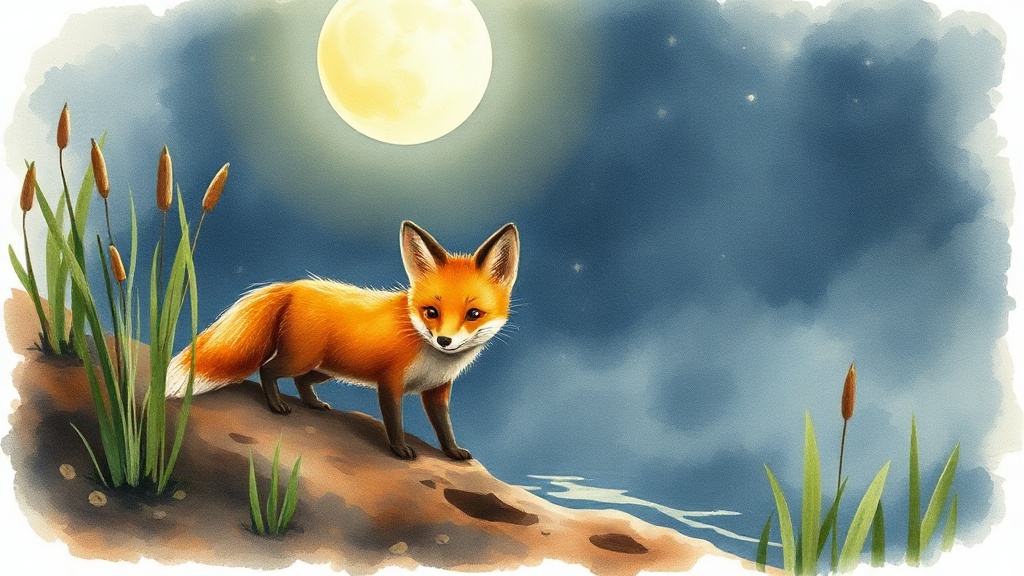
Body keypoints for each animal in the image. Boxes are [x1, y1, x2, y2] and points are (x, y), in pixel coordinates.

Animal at [165, 221, 520, 460]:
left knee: (301, 381)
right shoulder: (390, 382)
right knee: (268, 369)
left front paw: (452, 451)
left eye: (473, 314)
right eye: (431, 311)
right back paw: (276, 404)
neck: (429, 354)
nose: (445, 340)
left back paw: (312, 403)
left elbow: (444, 427)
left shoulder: (437, 390)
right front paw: (399, 449)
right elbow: (394, 422)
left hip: (325, 369)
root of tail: (293, 286)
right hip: (302, 358)